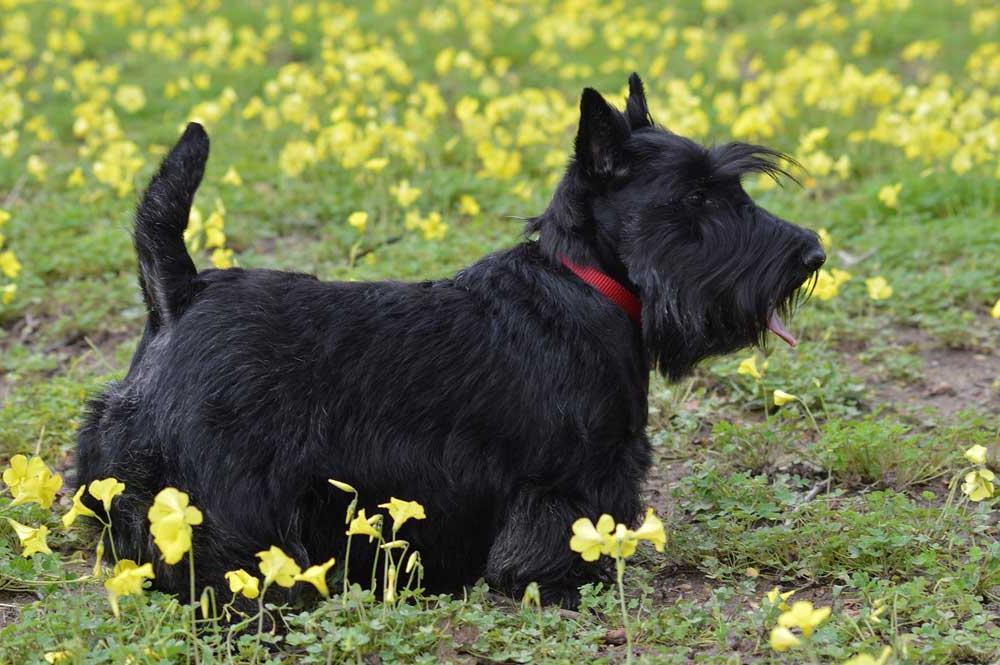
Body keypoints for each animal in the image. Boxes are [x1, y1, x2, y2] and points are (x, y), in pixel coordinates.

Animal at [78, 74, 824, 608]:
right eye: (696, 199)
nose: (812, 253)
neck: (582, 281)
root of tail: (181, 292)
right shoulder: (570, 474)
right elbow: (557, 531)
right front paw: (560, 585)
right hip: (224, 483)